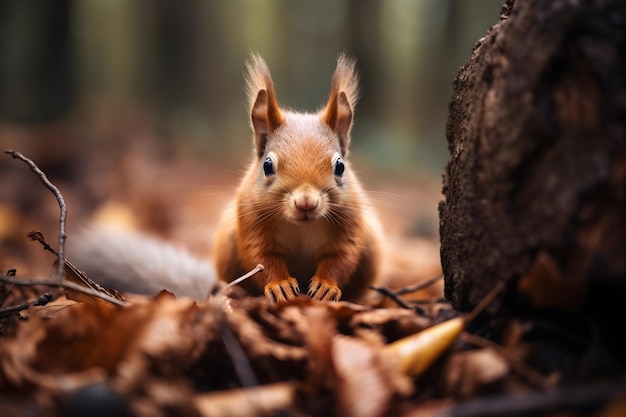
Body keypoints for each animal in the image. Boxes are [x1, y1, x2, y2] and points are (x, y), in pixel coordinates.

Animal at [212, 54, 382, 302]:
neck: (302, 226)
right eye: (267, 165)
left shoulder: (350, 221)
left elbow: (341, 257)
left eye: (340, 166)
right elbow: (262, 257)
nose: (306, 203)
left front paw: (326, 286)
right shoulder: (251, 220)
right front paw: (279, 285)